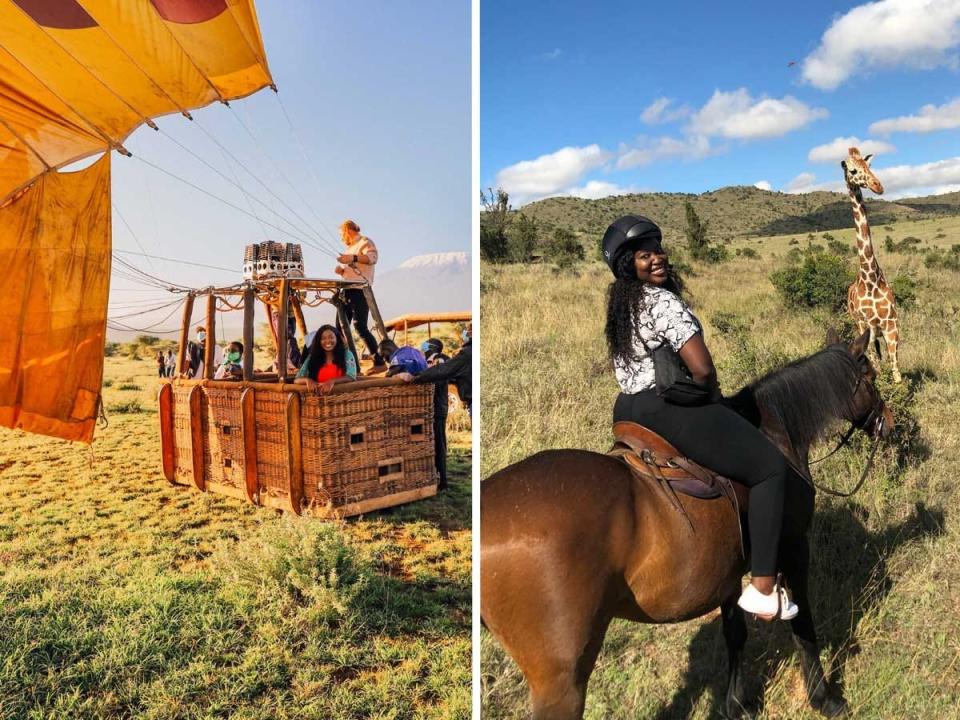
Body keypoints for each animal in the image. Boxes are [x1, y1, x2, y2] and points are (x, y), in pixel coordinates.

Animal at [480, 330, 892, 716]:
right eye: (871, 378)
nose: (887, 424)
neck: (775, 432)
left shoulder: (728, 570)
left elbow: (735, 633)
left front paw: (736, 704)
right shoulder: (793, 547)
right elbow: (803, 624)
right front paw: (823, 698)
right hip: (561, 679)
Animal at [840, 146, 900, 382]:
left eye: (869, 166)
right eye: (853, 171)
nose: (878, 186)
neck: (871, 279)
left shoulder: (891, 325)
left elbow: (896, 370)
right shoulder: (868, 327)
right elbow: (877, 365)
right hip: (858, 325)